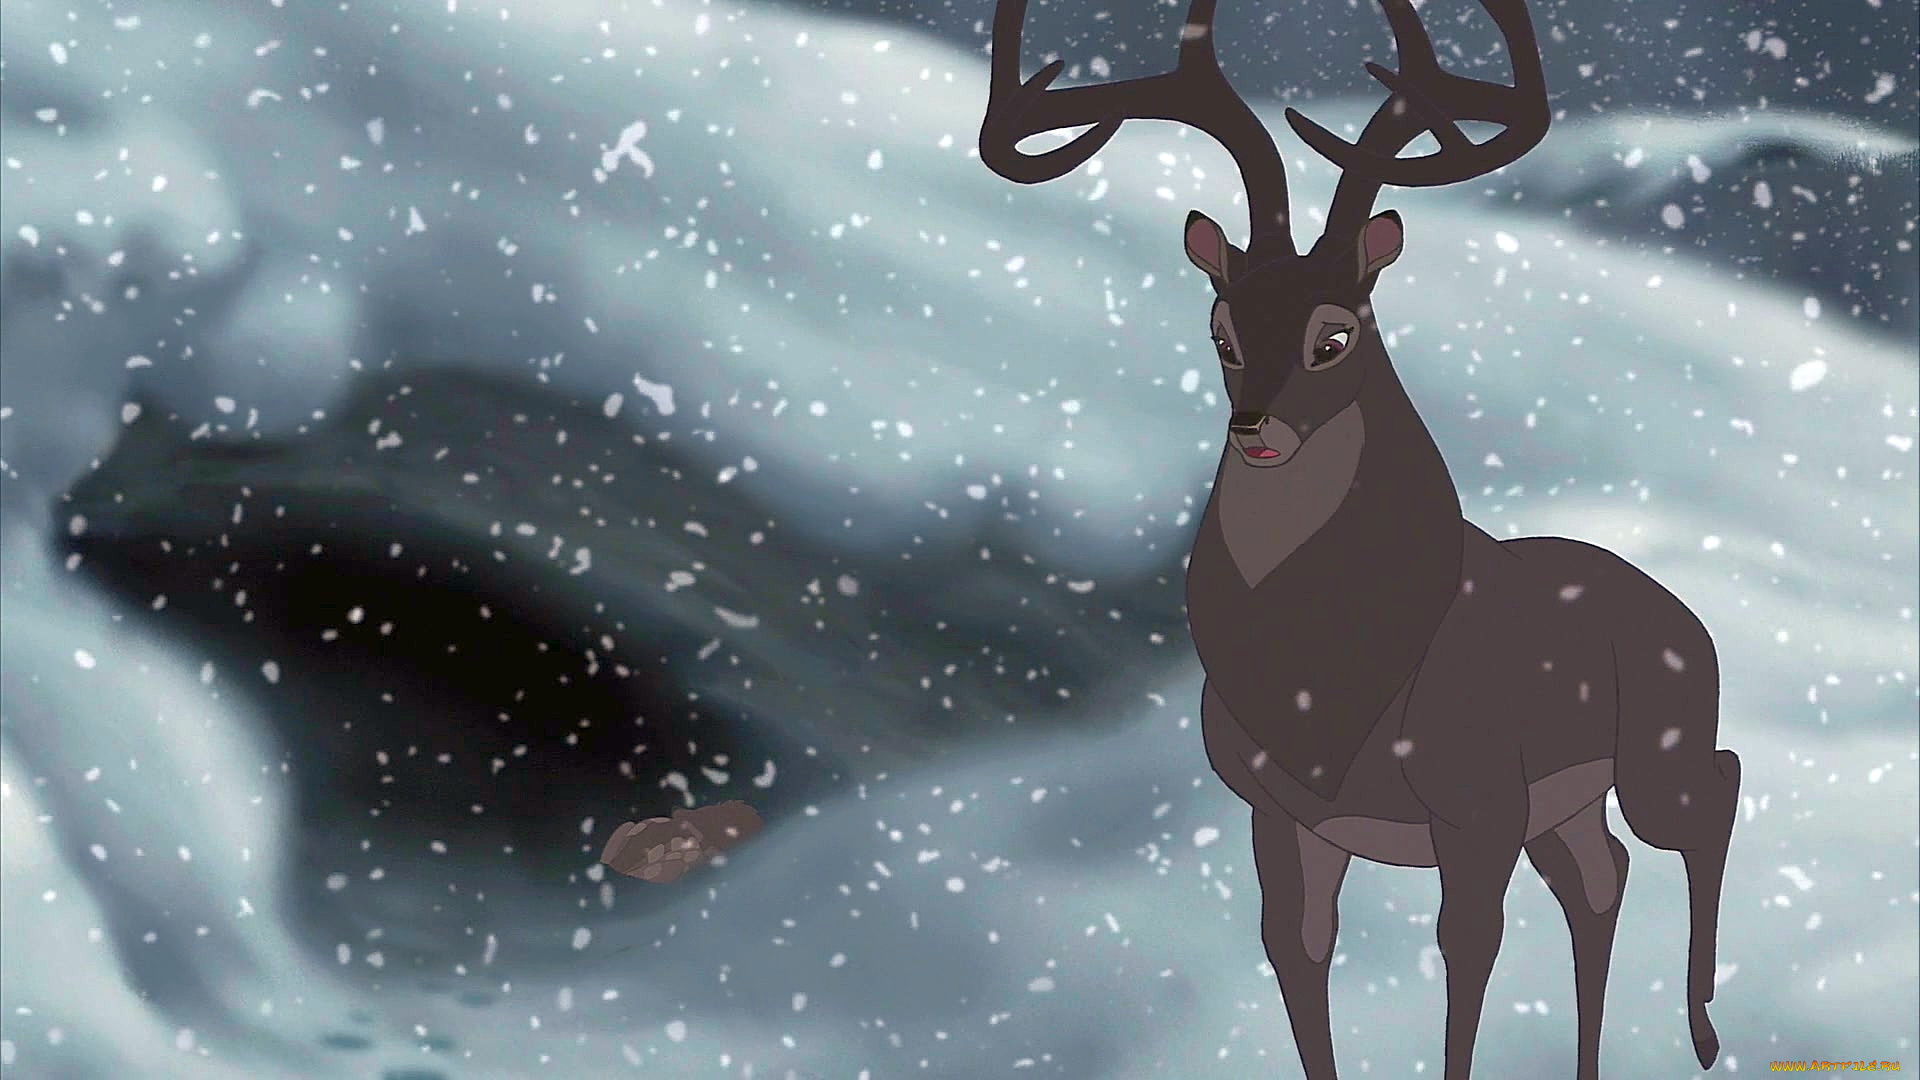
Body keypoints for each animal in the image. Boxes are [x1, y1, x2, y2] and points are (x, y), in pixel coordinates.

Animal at [977, 1, 1742, 1077]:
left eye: (1334, 335)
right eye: (1220, 329)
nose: (1255, 427)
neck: (1329, 692)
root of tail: (1693, 623)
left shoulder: (1476, 804)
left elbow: (1468, 950)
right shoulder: (1282, 812)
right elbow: (1295, 947)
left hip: (1652, 755)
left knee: (1713, 790)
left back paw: (1707, 1031)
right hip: (1569, 802)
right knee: (1602, 877)